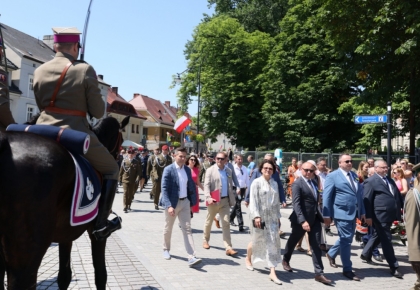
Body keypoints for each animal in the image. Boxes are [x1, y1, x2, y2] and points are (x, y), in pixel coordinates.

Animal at [0, 114, 130, 288]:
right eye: (121, 142)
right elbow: (101, 274)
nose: (119, 160)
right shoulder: (97, 234)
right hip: (25, 259)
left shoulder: (66, 233)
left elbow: (64, 275)